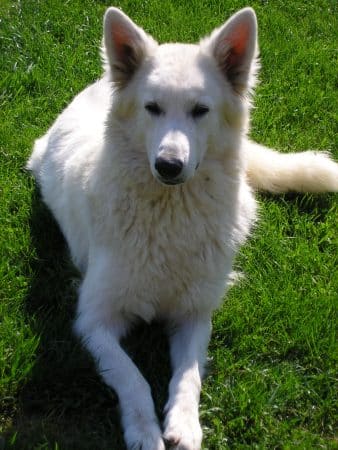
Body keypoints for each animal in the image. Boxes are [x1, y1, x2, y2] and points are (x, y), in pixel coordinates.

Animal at [27, 7, 338, 450]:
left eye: (200, 110)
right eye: (152, 108)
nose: (169, 165)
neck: (171, 215)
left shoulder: (194, 315)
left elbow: (188, 376)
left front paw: (185, 425)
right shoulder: (93, 320)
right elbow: (133, 377)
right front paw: (144, 431)